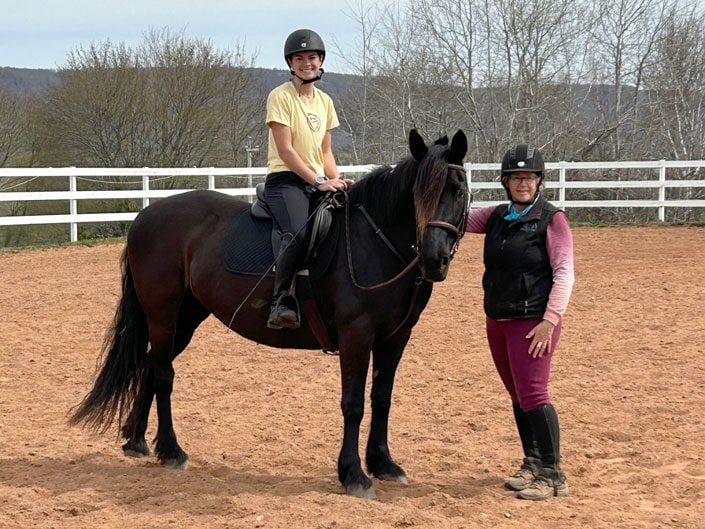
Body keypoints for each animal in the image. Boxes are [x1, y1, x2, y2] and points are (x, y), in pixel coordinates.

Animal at [70, 128, 468, 500]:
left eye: (460, 192)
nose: (434, 260)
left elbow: (381, 398)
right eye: (418, 195)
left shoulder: (395, 337)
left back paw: (136, 441)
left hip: (185, 319)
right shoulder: (356, 335)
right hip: (163, 316)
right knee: (164, 375)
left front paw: (384, 464)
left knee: (151, 368)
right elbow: (353, 404)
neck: (373, 241)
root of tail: (145, 216)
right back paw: (171, 451)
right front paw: (353, 474)